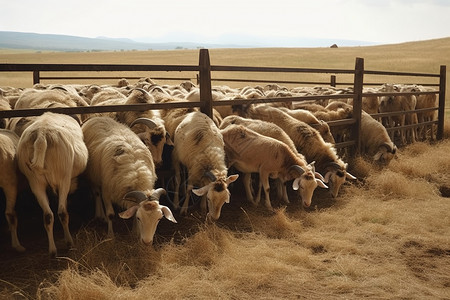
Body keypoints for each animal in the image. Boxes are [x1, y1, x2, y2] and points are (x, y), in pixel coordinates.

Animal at [17, 112, 89, 255]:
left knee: (48, 215)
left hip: (35, 182)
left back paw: (52, 251)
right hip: (63, 178)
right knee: (62, 212)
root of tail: (41, 135)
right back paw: (69, 242)